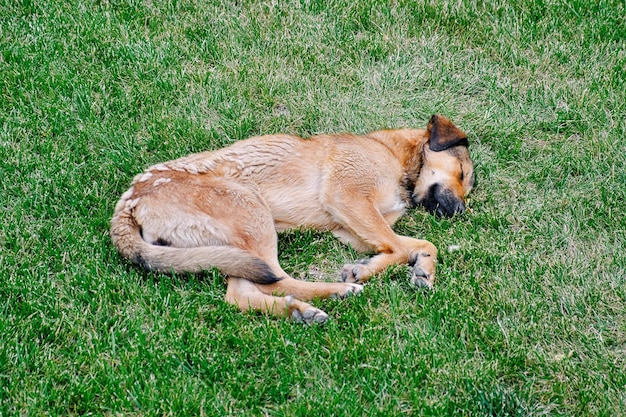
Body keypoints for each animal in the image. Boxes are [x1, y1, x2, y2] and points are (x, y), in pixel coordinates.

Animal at [111, 115, 472, 324]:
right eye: (463, 173)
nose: (460, 212)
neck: (395, 155)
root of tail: (130, 201)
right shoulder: (347, 197)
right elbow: (405, 245)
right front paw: (366, 271)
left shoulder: (350, 228)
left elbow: (410, 244)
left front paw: (416, 268)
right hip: (253, 213)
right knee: (274, 279)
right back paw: (336, 291)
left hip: (235, 244)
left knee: (241, 295)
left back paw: (298, 310)